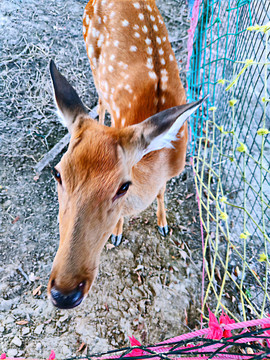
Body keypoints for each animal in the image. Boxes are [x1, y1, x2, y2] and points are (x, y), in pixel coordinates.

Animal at [47, 0, 206, 310]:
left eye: (123, 186)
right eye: (57, 173)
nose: (65, 293)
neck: (161, 162)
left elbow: (162, 192)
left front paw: (163, 224)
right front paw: (118, 233)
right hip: (91, 51)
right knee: (100, 98)